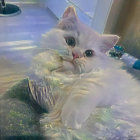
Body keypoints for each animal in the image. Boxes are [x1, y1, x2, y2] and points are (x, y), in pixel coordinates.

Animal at [30, 6, 140, 139]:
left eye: (89, 53)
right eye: (70, 41)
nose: (76, 55)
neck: (69, 75)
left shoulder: (104, 81)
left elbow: (83, 91)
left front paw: (71, 120)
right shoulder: (46, 92)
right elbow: (40, 62)